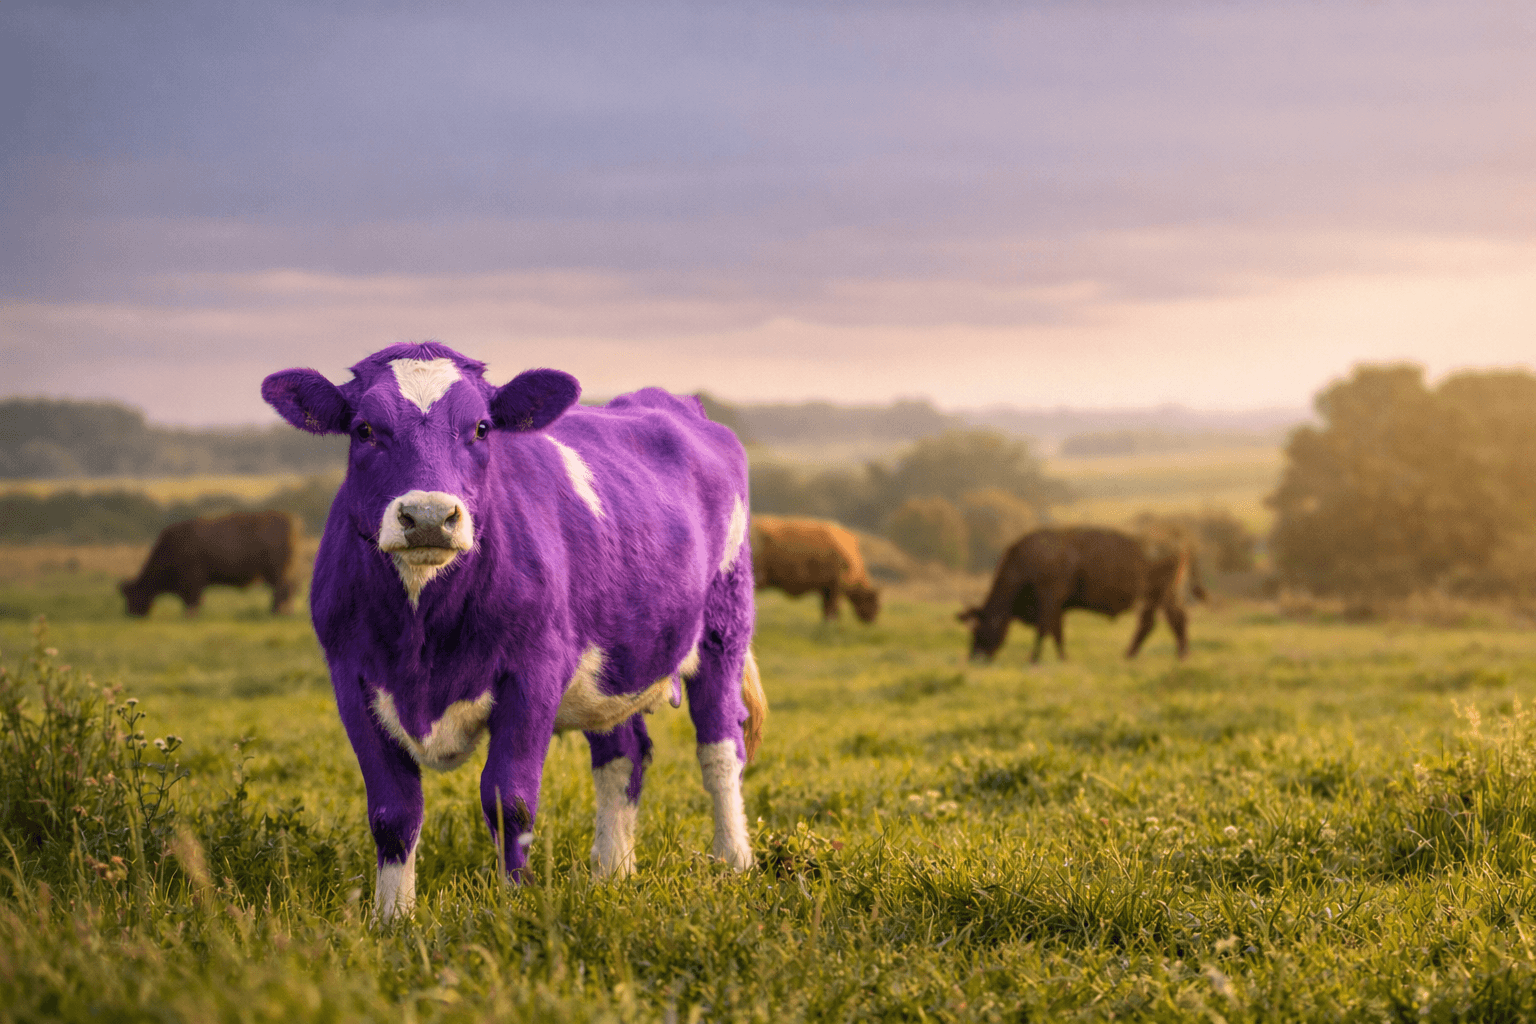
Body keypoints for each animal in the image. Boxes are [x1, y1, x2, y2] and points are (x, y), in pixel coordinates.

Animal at [120, 510, 297, 617]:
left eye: (132, 594)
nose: (130, 614)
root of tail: (290, 519)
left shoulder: (193, 581)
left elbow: (193, 600)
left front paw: (190, 616)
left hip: (276, 572)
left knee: (282, 590)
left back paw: (277, 612)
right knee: (285, 590)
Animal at [261, 341, 766, 921]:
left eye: (482, 428)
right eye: (364, 429)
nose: (428, 516)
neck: (421, 635)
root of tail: (672, 403)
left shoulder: (534, 671)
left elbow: (509, 799)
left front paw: (513, 905)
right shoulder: (351, 677)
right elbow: (393, 810)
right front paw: (392, 918)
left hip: (724, 628)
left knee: (720, 747)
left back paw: (733, 859)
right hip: (614, 662)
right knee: (622, 755)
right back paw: (611, 871)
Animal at [750, 515, 881, 623]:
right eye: (874, 601)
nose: (873, 620)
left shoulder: (826, 588)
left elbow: (826, 609)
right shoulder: (836, 587)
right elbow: (833, 609)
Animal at [958, 526, 1206, 663]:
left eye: (979, 630)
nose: (974, 657)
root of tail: (1176, 541)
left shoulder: (1049, 598)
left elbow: (1044, 629)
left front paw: (1034, 658)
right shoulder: (1058, 606)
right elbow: (1057, 632)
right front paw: (1062, 657)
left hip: (1158, 595)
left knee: (1163, 622)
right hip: (1161, 596)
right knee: (1166, 622)